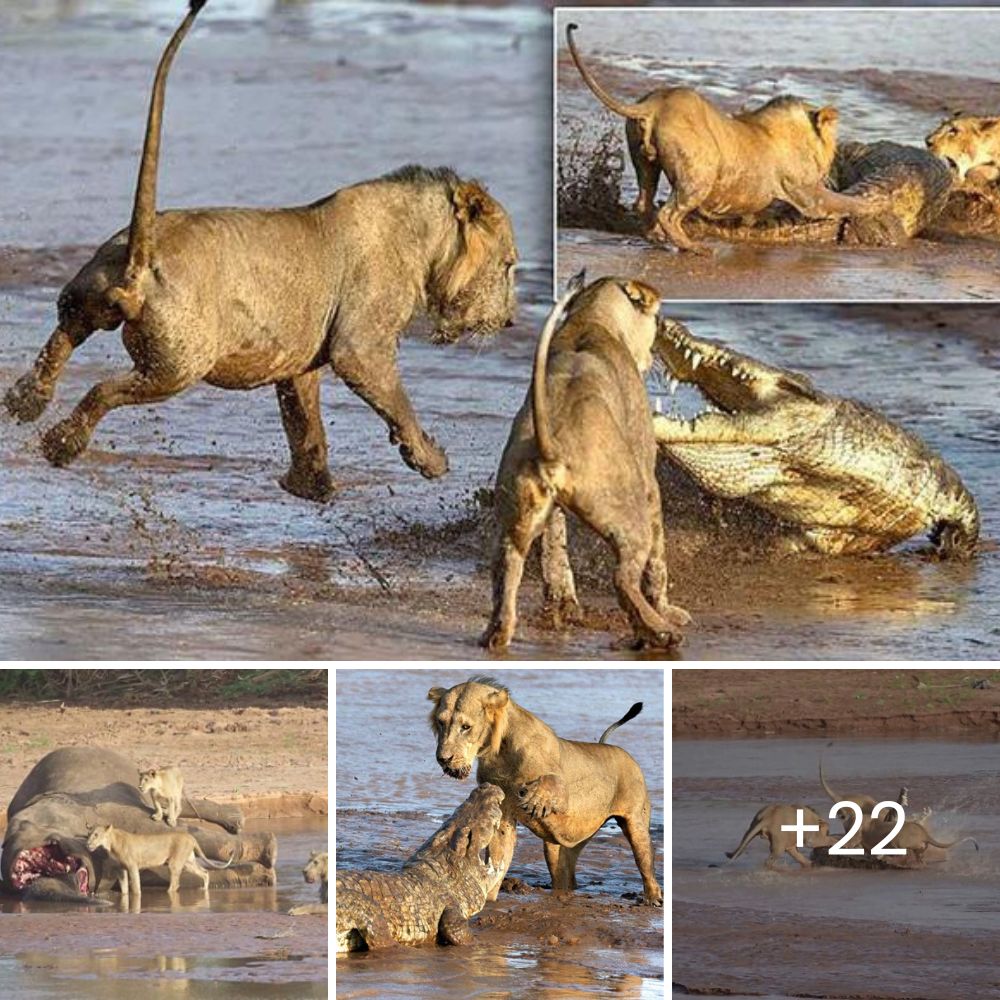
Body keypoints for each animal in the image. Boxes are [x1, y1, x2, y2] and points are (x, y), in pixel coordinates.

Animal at [7, 0, 520, 500]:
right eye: (510, 265)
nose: (512, 321)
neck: (422, 239)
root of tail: (140, 257)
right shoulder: (361, 343)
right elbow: (394, 399)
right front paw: (430, 460)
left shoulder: (298, 356)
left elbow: (304, 422)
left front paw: (312, 487)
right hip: (177, 366)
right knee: (103, 390)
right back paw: (61, 443)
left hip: (86, 294)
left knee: (61, 338)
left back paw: (23, 402)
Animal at [424, 680, 664, 908]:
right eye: (441, 722)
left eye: (466, 727)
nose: (443, 759)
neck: (500, 751)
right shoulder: (501, 809)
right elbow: (499, 855)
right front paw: (488, 897)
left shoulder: (566, 794)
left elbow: (552, 782)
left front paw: (534, 799)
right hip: (562, 847)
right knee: (565, 873)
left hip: (636, 824)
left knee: (644, 860)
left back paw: (653, 898)